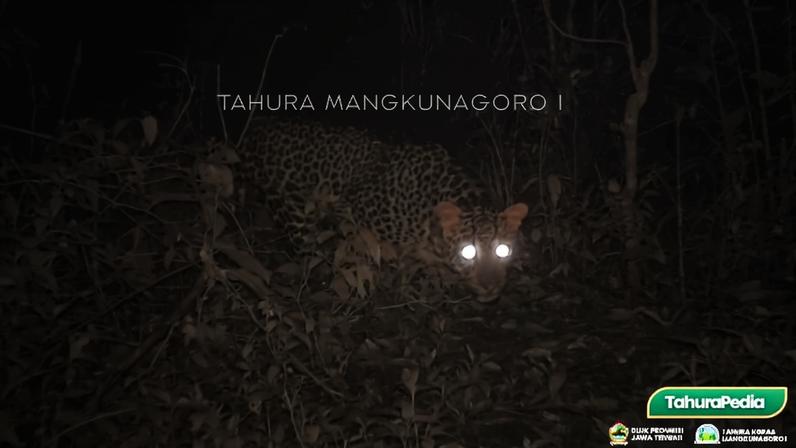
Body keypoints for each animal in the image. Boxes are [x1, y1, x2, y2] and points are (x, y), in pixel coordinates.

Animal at [236, 117, 528, 302]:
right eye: (468, 252)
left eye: (503, 251)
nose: (490, 286)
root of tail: (255, 132)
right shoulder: (352, 212)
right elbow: (366, 261)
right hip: (291, 206)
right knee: (305, 247)